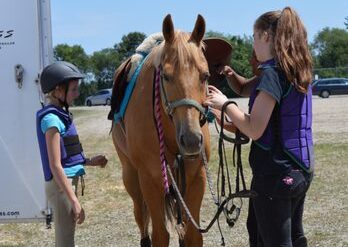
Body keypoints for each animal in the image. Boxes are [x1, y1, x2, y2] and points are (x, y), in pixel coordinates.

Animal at [110, 14, 211, 246]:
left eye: (205, 75)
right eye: (165, 76)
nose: (191, 141)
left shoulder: (195, 178)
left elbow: (192, 235)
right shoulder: (150, 180)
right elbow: (160, 234)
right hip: (132, 178)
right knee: (141, 218)